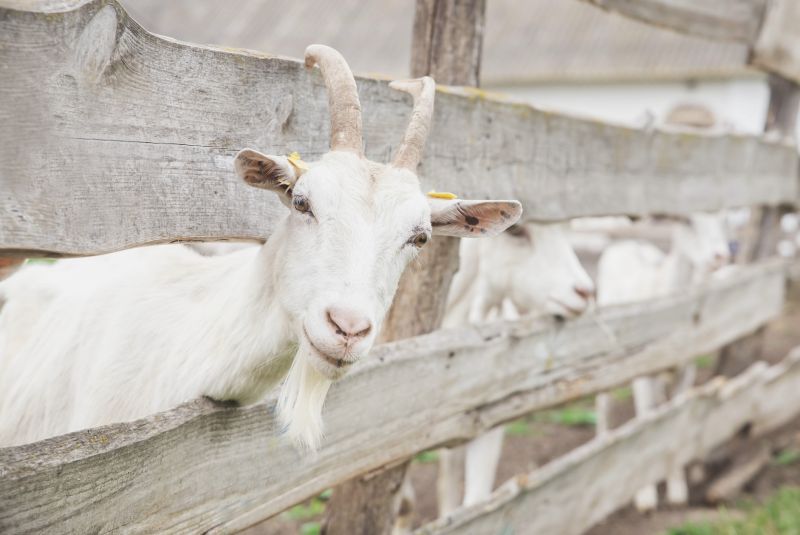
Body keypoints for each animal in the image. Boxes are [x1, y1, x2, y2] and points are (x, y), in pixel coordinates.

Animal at [595, 212, 731, 510]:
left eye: (723, 220)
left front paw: (677, 488)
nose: (720, 256)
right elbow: (644, 425)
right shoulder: (641, 374)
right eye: (688, 221)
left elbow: (675, 423)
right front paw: (645, 495)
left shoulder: (686, 370)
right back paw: (603, 441)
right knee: (604, 405)